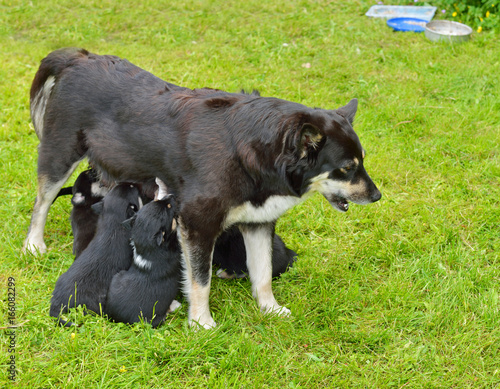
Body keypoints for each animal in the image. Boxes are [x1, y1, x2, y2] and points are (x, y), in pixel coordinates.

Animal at [105, 194, 182, 328]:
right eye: (169, 207)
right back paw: (175, 305)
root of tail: (118, 319)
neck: (146, 247)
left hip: (117, 277)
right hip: (155, 319)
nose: (172, 195)